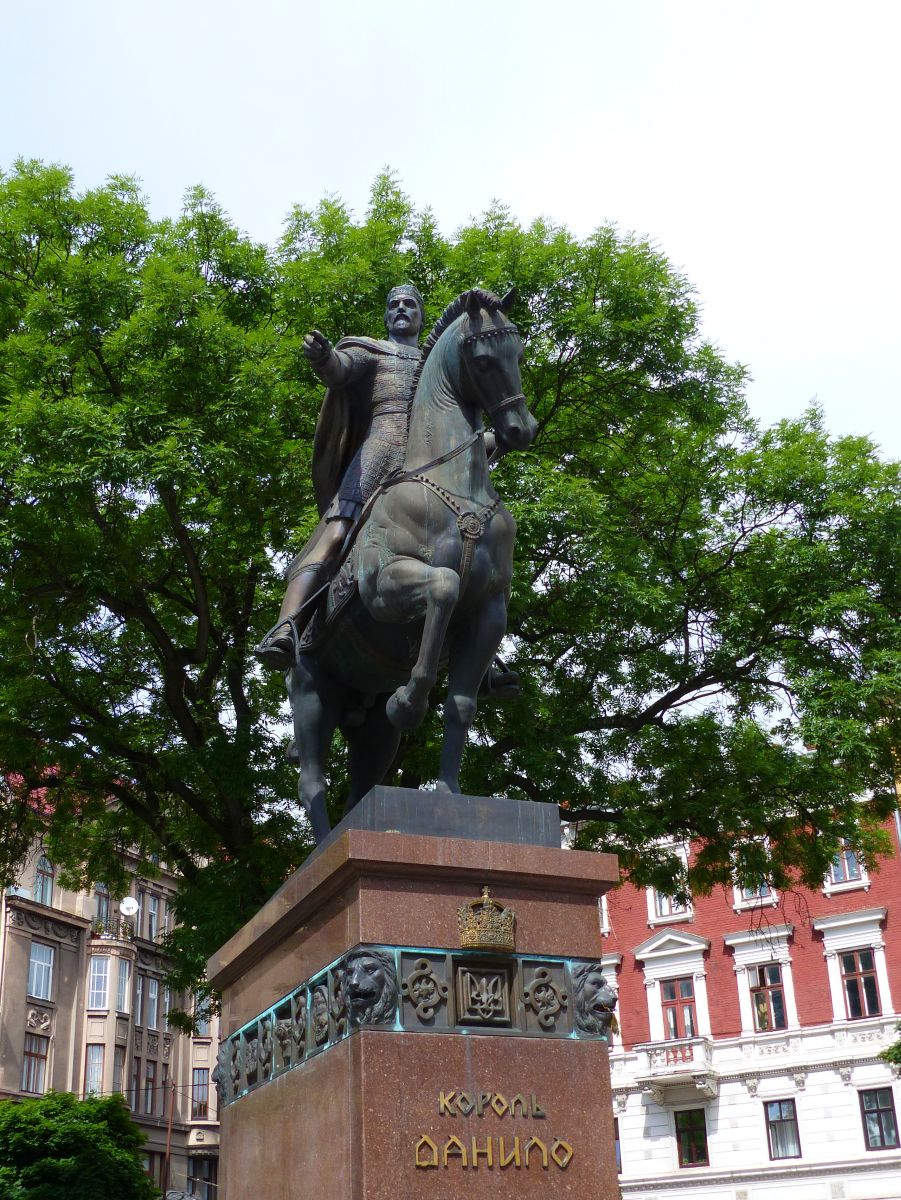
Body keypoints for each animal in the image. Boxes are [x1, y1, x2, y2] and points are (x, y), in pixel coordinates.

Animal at [289, 292, 535, 844]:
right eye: (483, 360)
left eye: (517, 354)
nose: (521, 430)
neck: (457, 488)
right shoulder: (384, 585)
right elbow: (444, 585)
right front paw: (410, 702)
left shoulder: (489, 612)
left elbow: (461, 704)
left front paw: (448, 794)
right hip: (310, 692)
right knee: (312, 781)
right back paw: (326, 846)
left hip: (371, 727)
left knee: (361, 786)